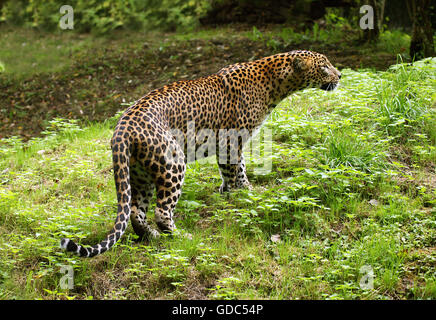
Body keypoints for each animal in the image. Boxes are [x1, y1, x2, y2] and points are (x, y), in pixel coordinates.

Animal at [60, 49, 340, 258]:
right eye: (324, 67)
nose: (339, 75)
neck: (274, 83)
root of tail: (121, 128)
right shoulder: (231, 141)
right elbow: (236, 171)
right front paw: (244, 196)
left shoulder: (226, 145)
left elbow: (233, 171)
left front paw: (233, 193)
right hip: (172, 163)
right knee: (161, 211)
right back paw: (180, 236)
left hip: (140, 173)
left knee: (136, 212)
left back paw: (152, 237)